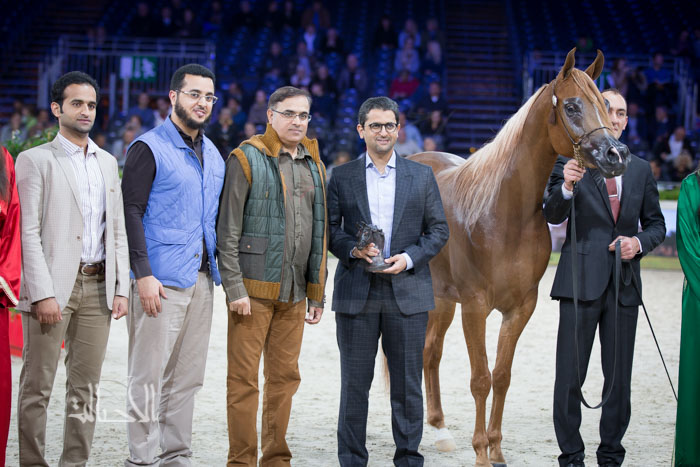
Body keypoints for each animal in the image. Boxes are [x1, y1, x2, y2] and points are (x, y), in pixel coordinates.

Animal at [408, 48, 630, 467]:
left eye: (605, 105)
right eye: (573, 106)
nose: (617, 155)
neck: (501, 211)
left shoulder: (520, 307)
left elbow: (502, 375)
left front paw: (495, 449)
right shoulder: (475, 307)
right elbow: (480, 379)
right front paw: (480, 453)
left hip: (442, 299)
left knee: (430, 353)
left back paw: (440, 431)